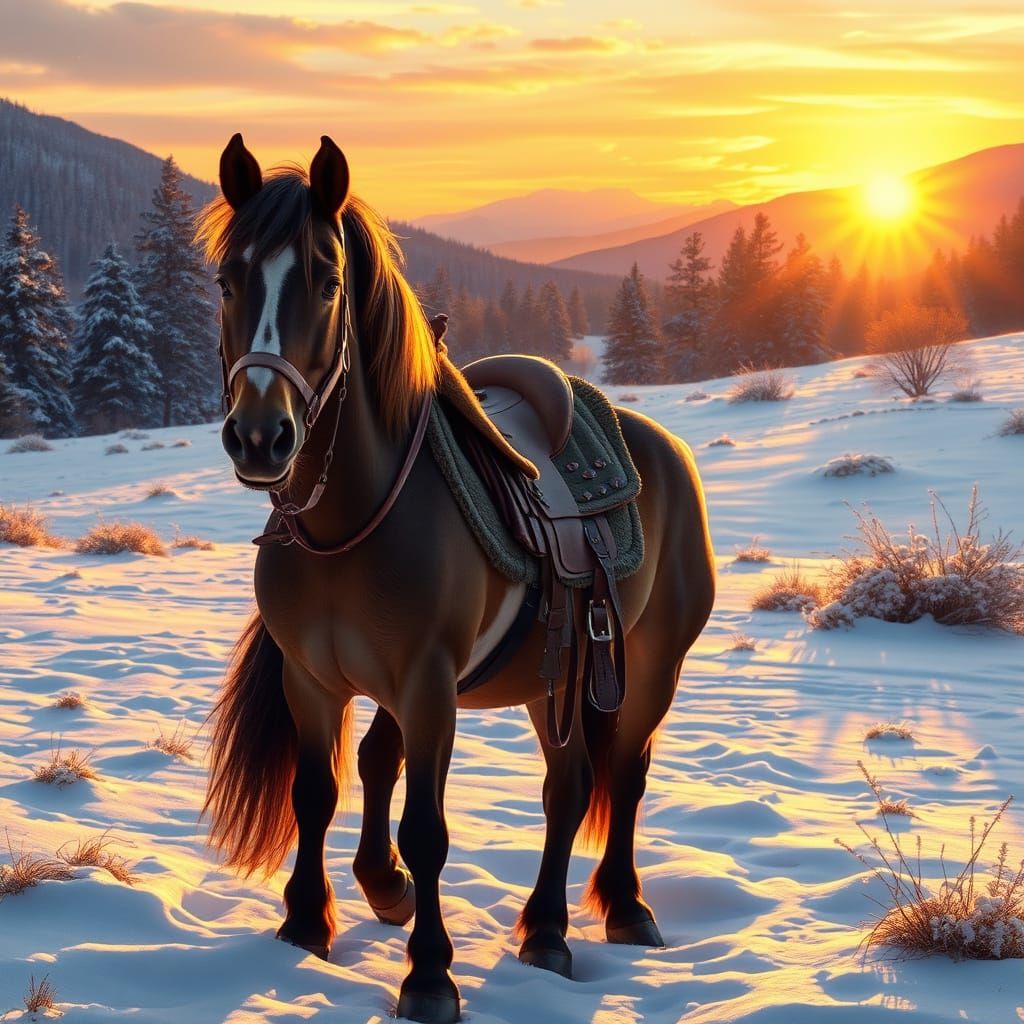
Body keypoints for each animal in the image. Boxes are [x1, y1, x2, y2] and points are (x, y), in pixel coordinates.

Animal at [198, 133, 715, 1024]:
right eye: (229, 279)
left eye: (327, 282)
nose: (261, 437)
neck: (351, 524)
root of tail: (661, 445)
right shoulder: (314, 681)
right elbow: (319, 794)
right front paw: (308, 928)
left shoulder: (428, 685)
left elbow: (428, 830)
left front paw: (430, 977)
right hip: (553, 681)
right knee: (566, 789)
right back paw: (544, 931)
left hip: (651, 666)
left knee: (623, 775)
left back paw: (623, 907)